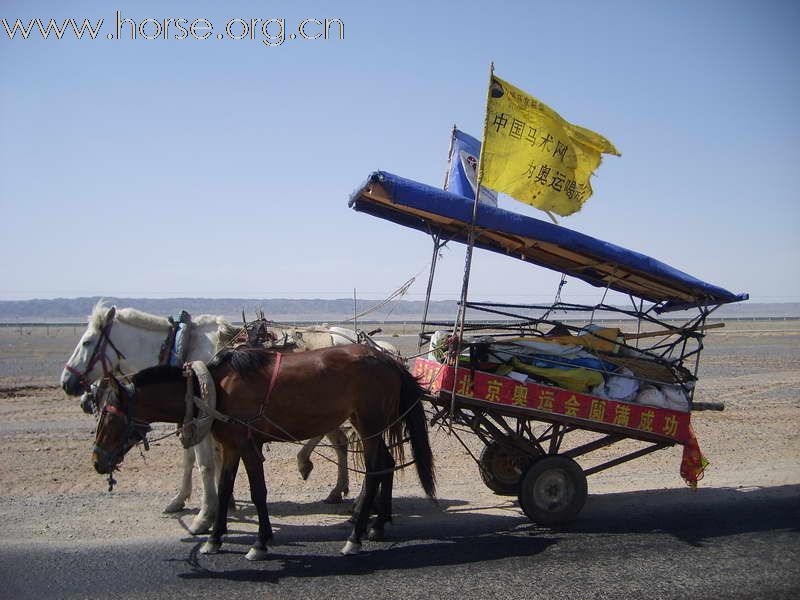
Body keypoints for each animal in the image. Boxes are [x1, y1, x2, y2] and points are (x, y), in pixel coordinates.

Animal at [61, 302, 360, 532]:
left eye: (87, 342)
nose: (67, 383)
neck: (184, 348)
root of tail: (351, 335)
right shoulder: (195, 420)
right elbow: (193, 461)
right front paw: (185, 500)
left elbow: (204, 464)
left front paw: (205, 516)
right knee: (340, 441)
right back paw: (335, 488)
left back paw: (314, 470)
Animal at [92, 344, 438, 560]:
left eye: (108, 416)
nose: (97, 460)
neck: (214, 390)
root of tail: (389, 360)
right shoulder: (231, 446)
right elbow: (224, 487)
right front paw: (214, 540)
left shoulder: (248, 445)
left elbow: (258, 491)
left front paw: (260, 543)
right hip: (371, 425)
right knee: (386, 465)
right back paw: (376, 526)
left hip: (369, 425)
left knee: (377, 468)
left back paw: (354, 537)